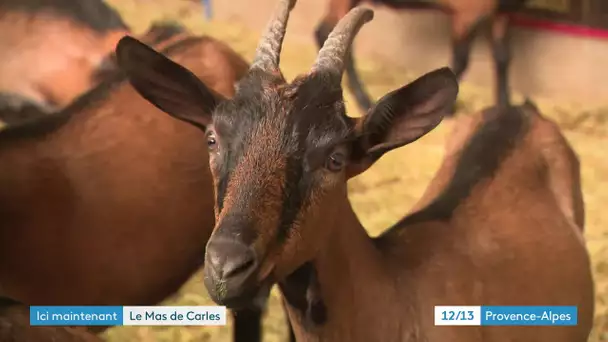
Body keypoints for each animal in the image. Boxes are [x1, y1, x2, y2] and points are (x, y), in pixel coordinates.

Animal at [316, 0, 528, 115]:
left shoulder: (501, 12)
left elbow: (503, 57)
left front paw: (505, 107)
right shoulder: (468, 13)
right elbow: (461, 59)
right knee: (328, 32)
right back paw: (363, 100)